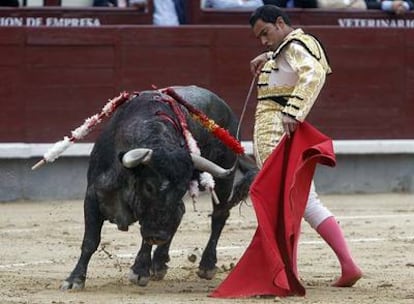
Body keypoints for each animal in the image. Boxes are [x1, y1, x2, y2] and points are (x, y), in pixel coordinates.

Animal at [60, 85, 258, 290]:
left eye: (181, 189)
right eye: (149, 187)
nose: (160, 236)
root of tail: (227, 111)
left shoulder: (152, 218)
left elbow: (147, 236)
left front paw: (140, 271)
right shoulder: (93, 195)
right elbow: (90, 240)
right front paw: (74, 280)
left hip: (223, 178)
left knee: (218, 215)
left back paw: (206, 265)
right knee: (180, 213)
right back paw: (159, 263)